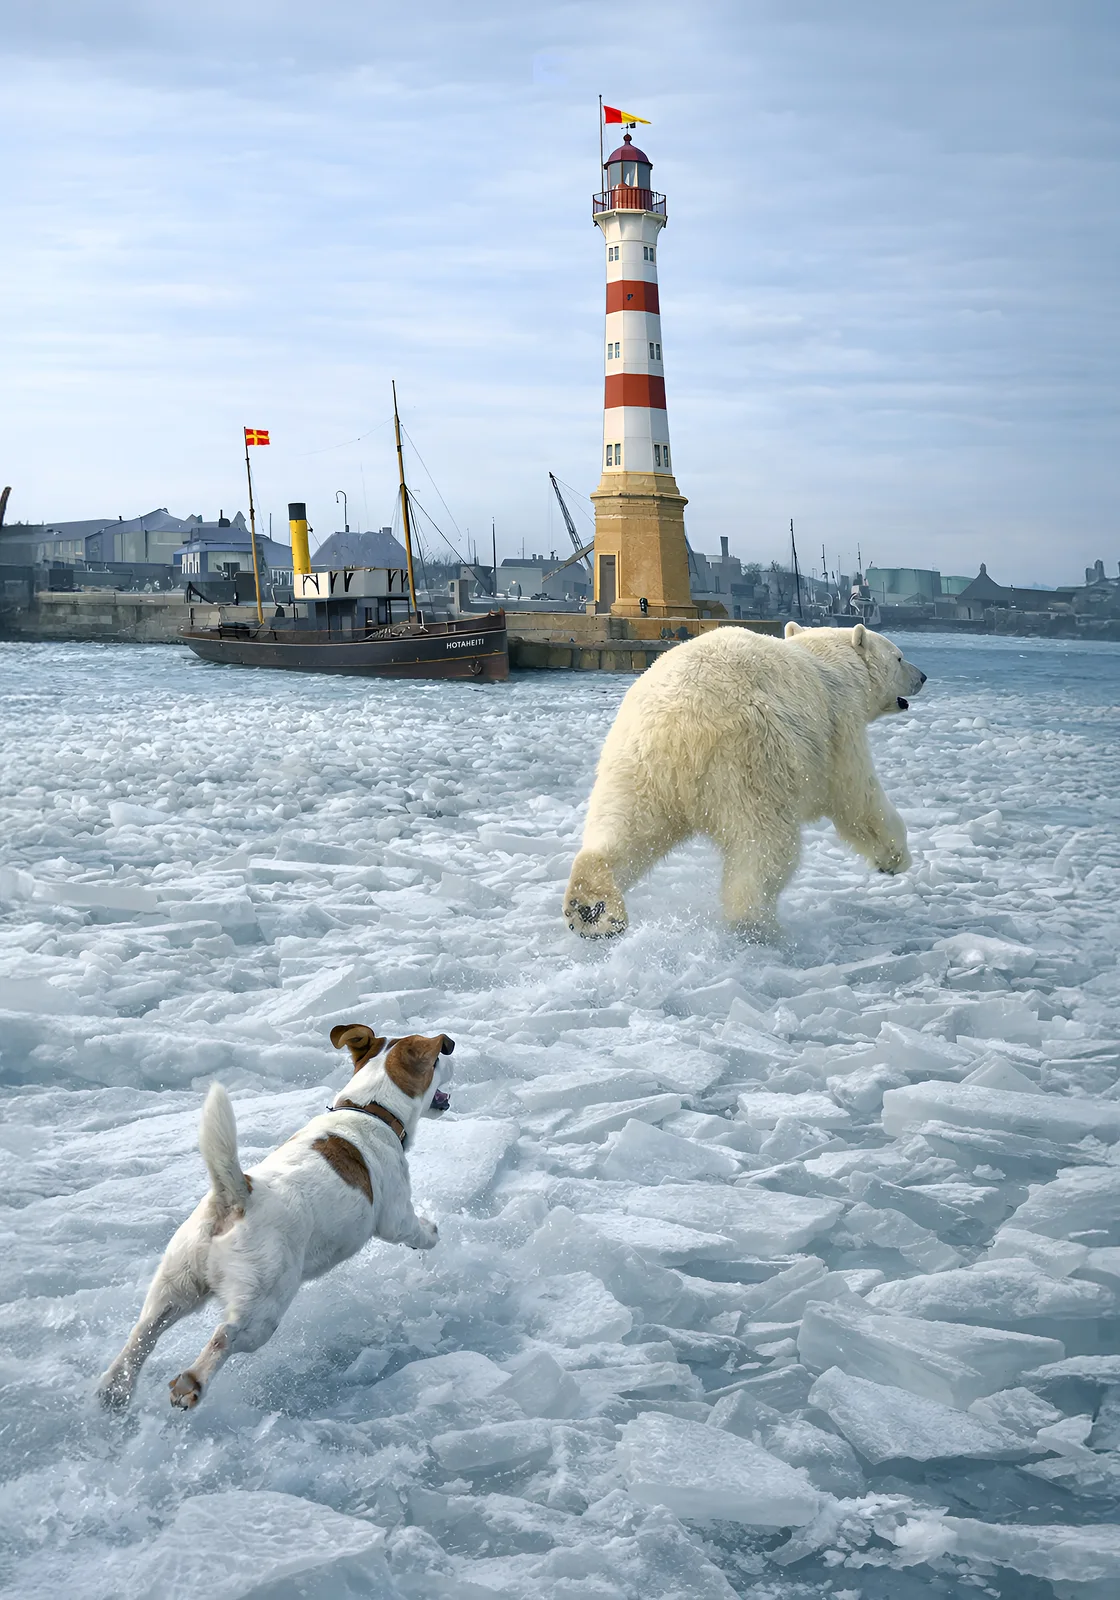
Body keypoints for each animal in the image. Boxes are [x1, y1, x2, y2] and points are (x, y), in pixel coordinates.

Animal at [562, 621, 927, 940]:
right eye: (899, 657)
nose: (923, 676)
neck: (834, 664)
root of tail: (676, 729)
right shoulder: (840, 728)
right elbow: (858, 797)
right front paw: (894, 860)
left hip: (636, 765)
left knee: (625, 828)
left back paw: (592, 911)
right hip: (752, 761)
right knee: (764, 847)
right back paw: (756, 925)